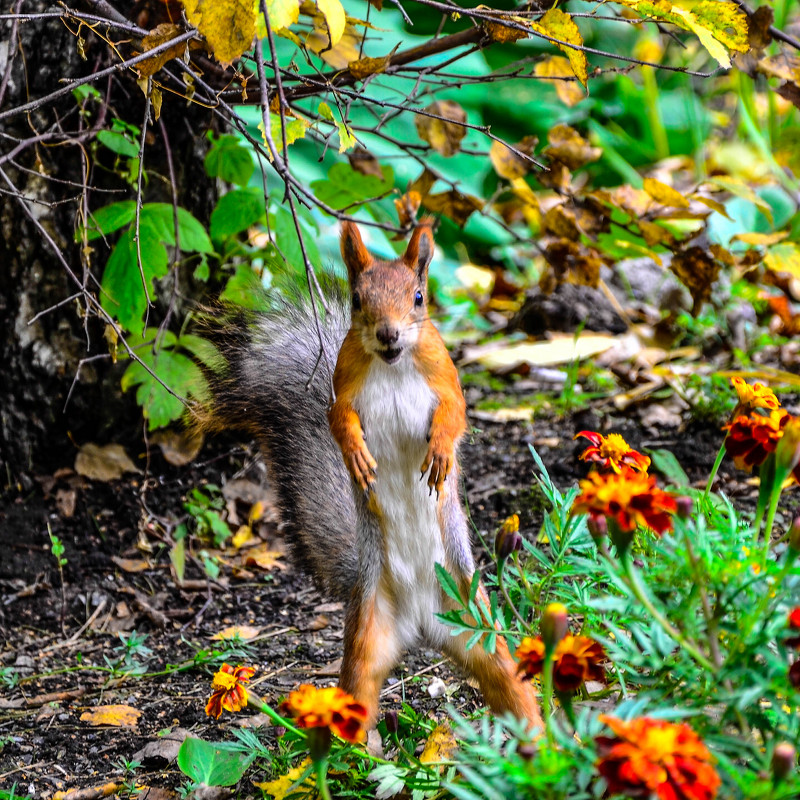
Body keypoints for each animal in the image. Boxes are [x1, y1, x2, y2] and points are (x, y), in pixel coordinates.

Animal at [197, 220, 540, 732]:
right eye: (359, 300)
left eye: (418, 297)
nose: (387, 333)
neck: (392, 366)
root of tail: (423, 625)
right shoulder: (343, 391)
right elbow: (339, 422)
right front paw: (358, 456)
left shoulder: (447, 380)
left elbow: (454, 415)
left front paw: (440, 452)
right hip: (367, 633)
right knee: (358, 686)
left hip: (477, 624)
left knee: (508, 680)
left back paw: (546, 737)